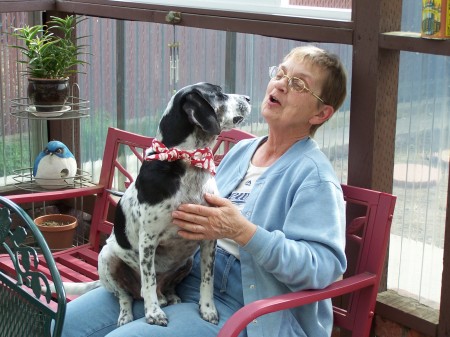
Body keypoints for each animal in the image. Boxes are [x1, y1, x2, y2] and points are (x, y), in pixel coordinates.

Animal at [58, 82, 251, 326]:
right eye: (218, 94)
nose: (249, 98)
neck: (187, 161)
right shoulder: (148, 239)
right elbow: (148, 280)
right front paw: (153, 313)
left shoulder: (209, 237)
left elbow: (207, 279)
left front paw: (208, 309)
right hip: (107, 258)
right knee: (126, 295)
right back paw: (128, 314)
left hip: (188, 261)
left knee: (162, 289)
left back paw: (170, 297)